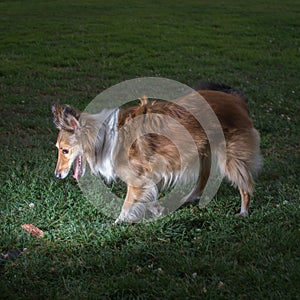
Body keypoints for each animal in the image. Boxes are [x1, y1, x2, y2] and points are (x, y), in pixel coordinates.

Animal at [52, 82, 262, 223]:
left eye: (65, 150)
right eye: (59, 149)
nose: (56, 175)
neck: (103, 137)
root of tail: (236, 99)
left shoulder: (137, 178)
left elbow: (127, 204)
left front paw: (118, 223)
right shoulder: (149, 176)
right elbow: (149, 197)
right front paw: (157, 210)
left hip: (230, 157)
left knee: (246, 186)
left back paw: (243, 212)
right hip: (204, 151)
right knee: (204, 178)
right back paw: (189, 198)